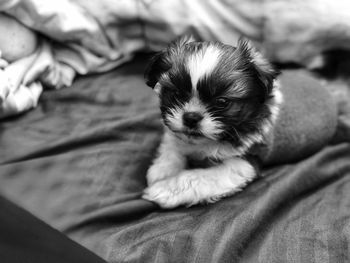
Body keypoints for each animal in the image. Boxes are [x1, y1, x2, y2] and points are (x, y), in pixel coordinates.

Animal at [142, 37, 282, 210]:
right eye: (176, 94)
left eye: (222, 102)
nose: (191, 117)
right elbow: (172, 143)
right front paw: (162, 169)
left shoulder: (245, 162)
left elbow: (196, 178)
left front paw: (164, 189)